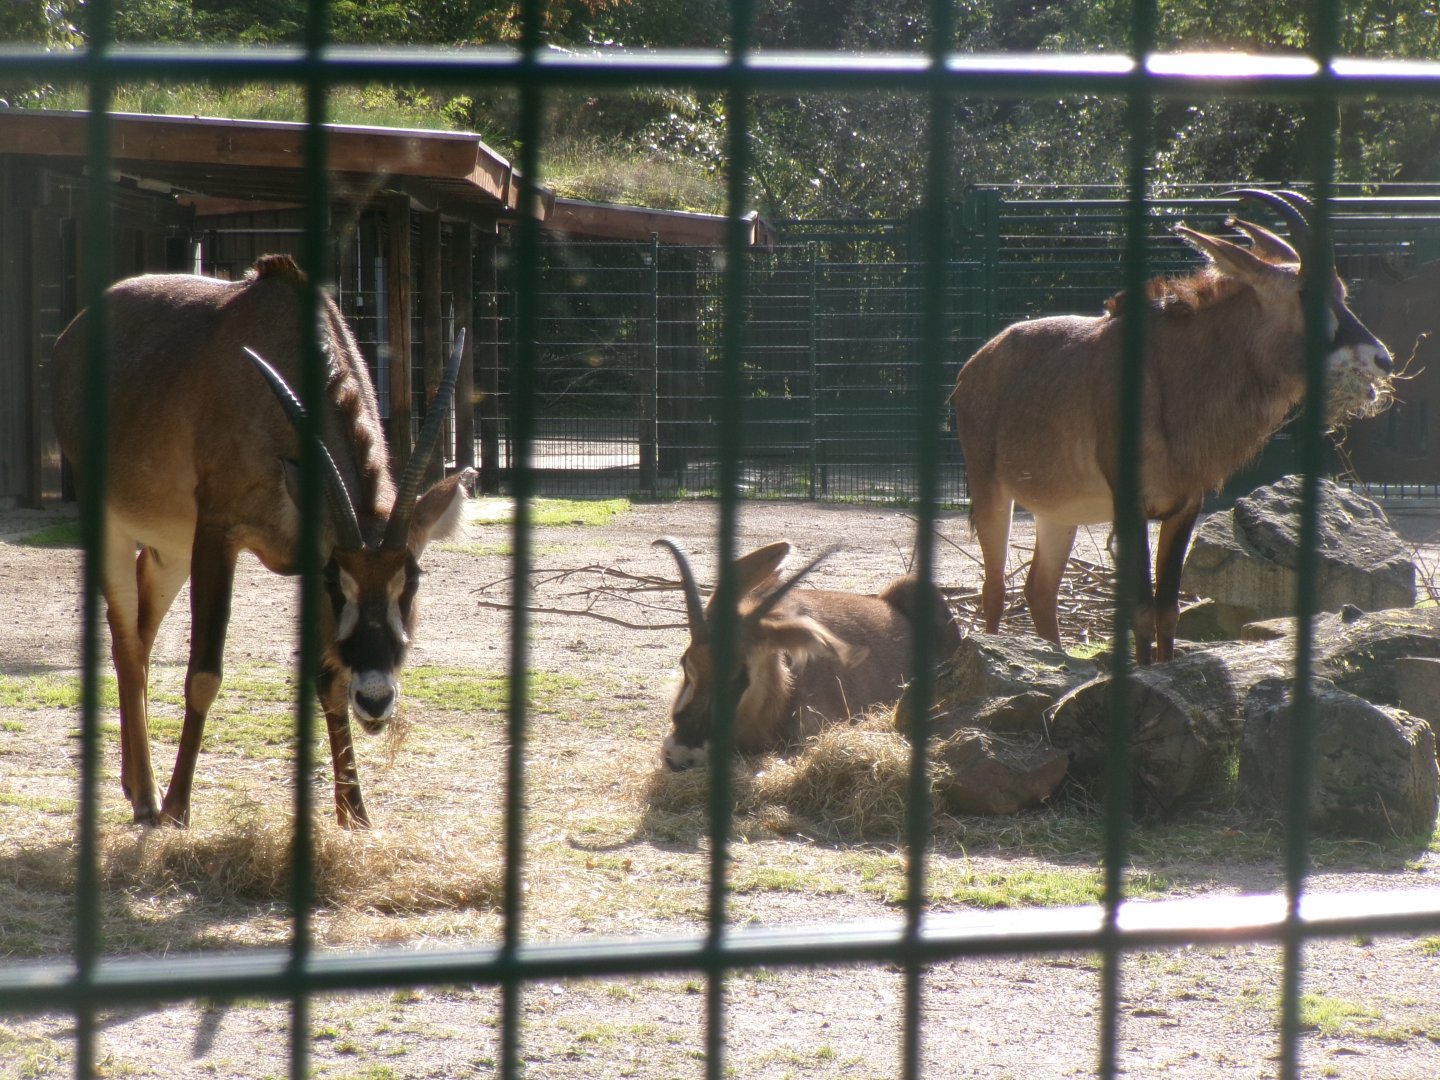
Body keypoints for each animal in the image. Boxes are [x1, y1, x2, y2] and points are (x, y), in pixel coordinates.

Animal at [52, 254, 474, 828]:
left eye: (411, 579)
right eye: (337, 582)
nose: (376, 700)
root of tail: (73, 335)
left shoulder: (305, 551)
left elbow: (328, 679)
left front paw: (355, 817)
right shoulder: (219, 533)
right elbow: (203, 674)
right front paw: (178, 809)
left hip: (172, 549)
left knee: (142, 630)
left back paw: (139, 786)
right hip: (113, 524)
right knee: (127, 643)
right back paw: (149, 798)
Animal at [950, 189, 1393, 665]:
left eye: (1342, 293)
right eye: (1305, 293)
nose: (1381, 359)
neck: (1174, 373)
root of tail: (974, 366)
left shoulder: (1184, 508)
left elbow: (1168, 611)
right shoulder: (1131, 508)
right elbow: (1144, 612)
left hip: (1059, 514)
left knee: (1040, 591)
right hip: (992, 493)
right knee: (994, 589)